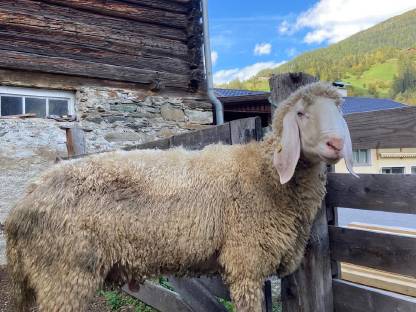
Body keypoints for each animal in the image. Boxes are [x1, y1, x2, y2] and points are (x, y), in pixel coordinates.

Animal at [4, 82, 356, 312]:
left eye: (339, 110)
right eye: (301, 113)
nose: (336, 144)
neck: (267, 173)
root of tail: (23, 201)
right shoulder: (245, 262)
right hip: (64, 271)